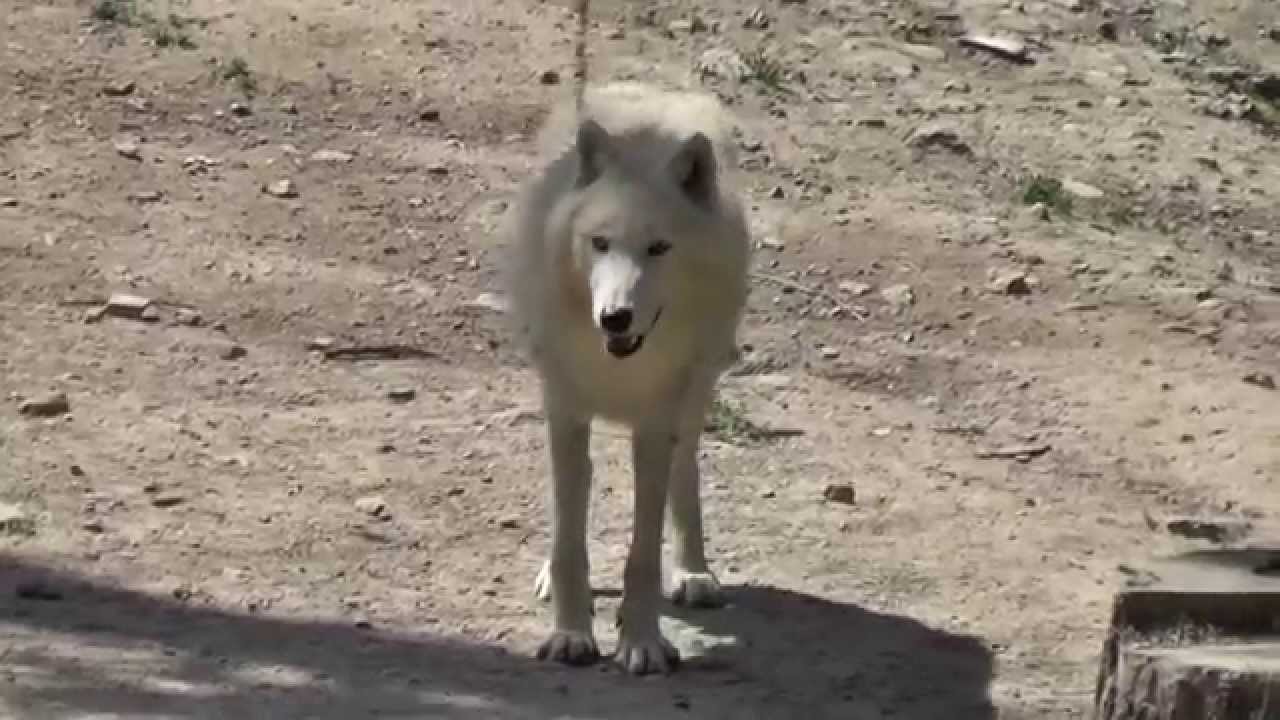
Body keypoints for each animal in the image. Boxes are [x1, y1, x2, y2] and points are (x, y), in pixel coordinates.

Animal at [501, 83, 747, 671]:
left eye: (659, 247)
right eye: (600, 243)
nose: (615, 318)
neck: (620, 365)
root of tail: (650, 92)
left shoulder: (656, 425)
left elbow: (643, 552)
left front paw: (642, 642)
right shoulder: (565, 412)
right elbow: (569, 536)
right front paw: (570, 634)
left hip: (699, 388)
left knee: (686, 471)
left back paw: (693, 572)